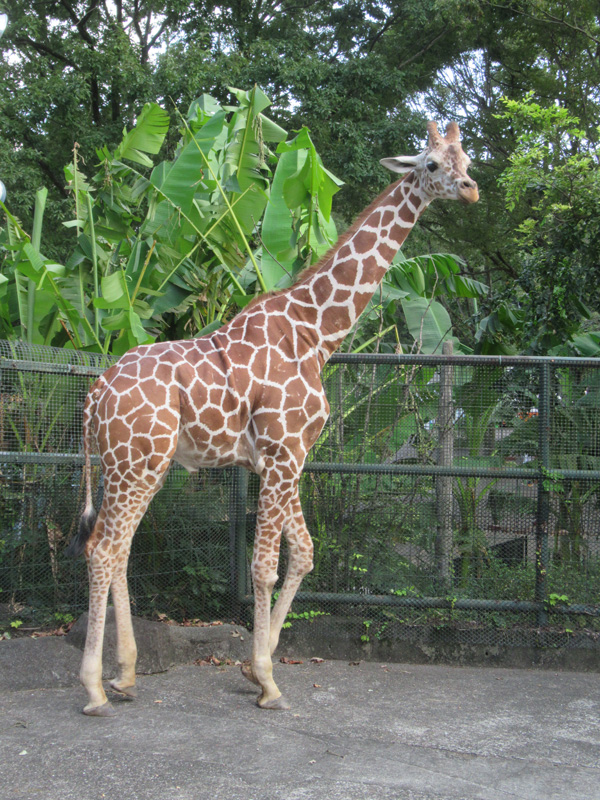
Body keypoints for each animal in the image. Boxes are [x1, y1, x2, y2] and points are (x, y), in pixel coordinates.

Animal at [67, 122, 478, 716]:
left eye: (465, 159)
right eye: (430, 164)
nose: (470, 190)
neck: (316, 331)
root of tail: (94, 394)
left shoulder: (286, 457)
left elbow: (303, 554)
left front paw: (252, 668)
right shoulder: (282, 452)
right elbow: (264, 566)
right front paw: (267, 679)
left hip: (138, 466)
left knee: (116, 549)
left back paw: (125, 676)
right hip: (134, 464)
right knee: (103, 550)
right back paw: (96, 689)